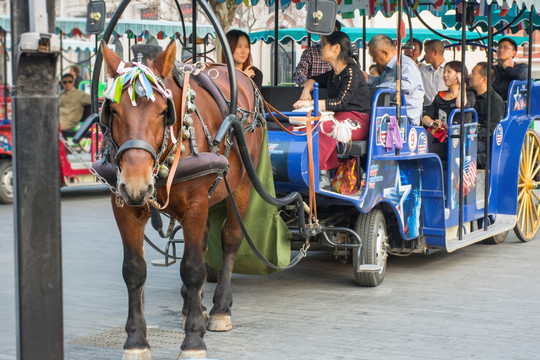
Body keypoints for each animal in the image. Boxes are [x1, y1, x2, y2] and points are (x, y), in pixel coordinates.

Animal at [101, 40, 264, 358]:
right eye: (112, 109)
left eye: (163, 111)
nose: (136, 184)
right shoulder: (124, 206)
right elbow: (134, 270)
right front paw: (136, 341)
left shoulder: (196, 205)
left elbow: (191, 268)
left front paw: (193, 341)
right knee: (203, 244)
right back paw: (194, 307)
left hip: (240, 188)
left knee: (230, 240)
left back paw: (219, 309)